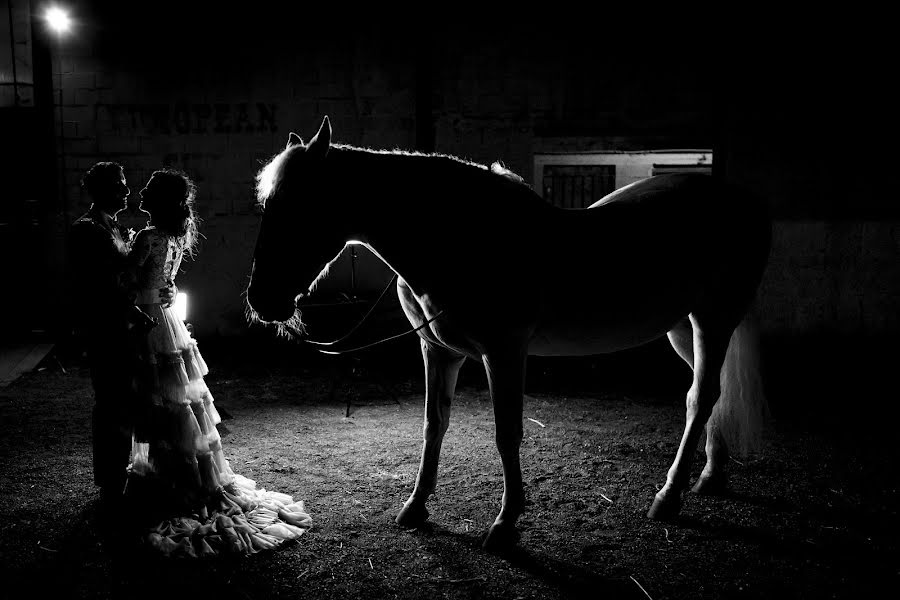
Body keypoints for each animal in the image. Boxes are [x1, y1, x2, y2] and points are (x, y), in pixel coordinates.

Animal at [246, 115, 772, 552]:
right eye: (268, 204)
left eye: (302, 207)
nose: (260, 300)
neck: (465, 241)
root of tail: (740, 200)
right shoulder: (437, 351)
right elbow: (433, 423)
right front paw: (415, 508)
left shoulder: (503, 352)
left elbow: (506, 432)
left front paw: (505, 524)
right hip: (682, 330)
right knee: (708, 394)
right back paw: (709, 477)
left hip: (712, 320)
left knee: (701, 397)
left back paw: (668, 497)